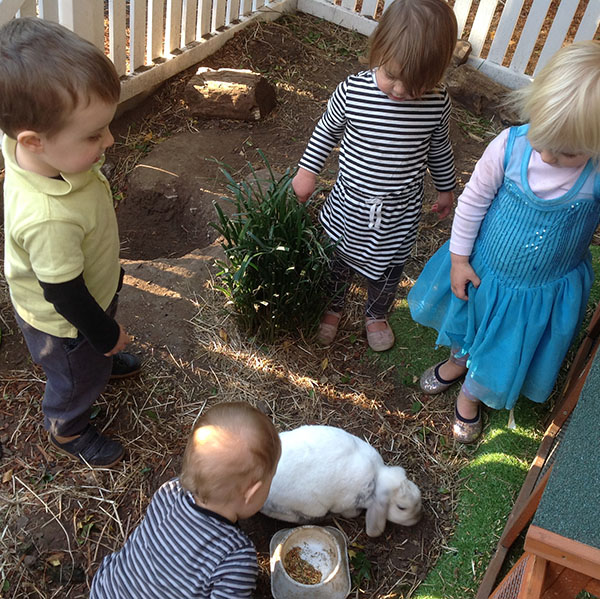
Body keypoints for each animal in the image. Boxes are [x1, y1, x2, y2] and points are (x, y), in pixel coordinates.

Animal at [258, 424, 422, 536]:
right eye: (401, 507)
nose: (418, 518)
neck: (376, 480)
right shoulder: (346, 504)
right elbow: (351, 513)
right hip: (311, 507)